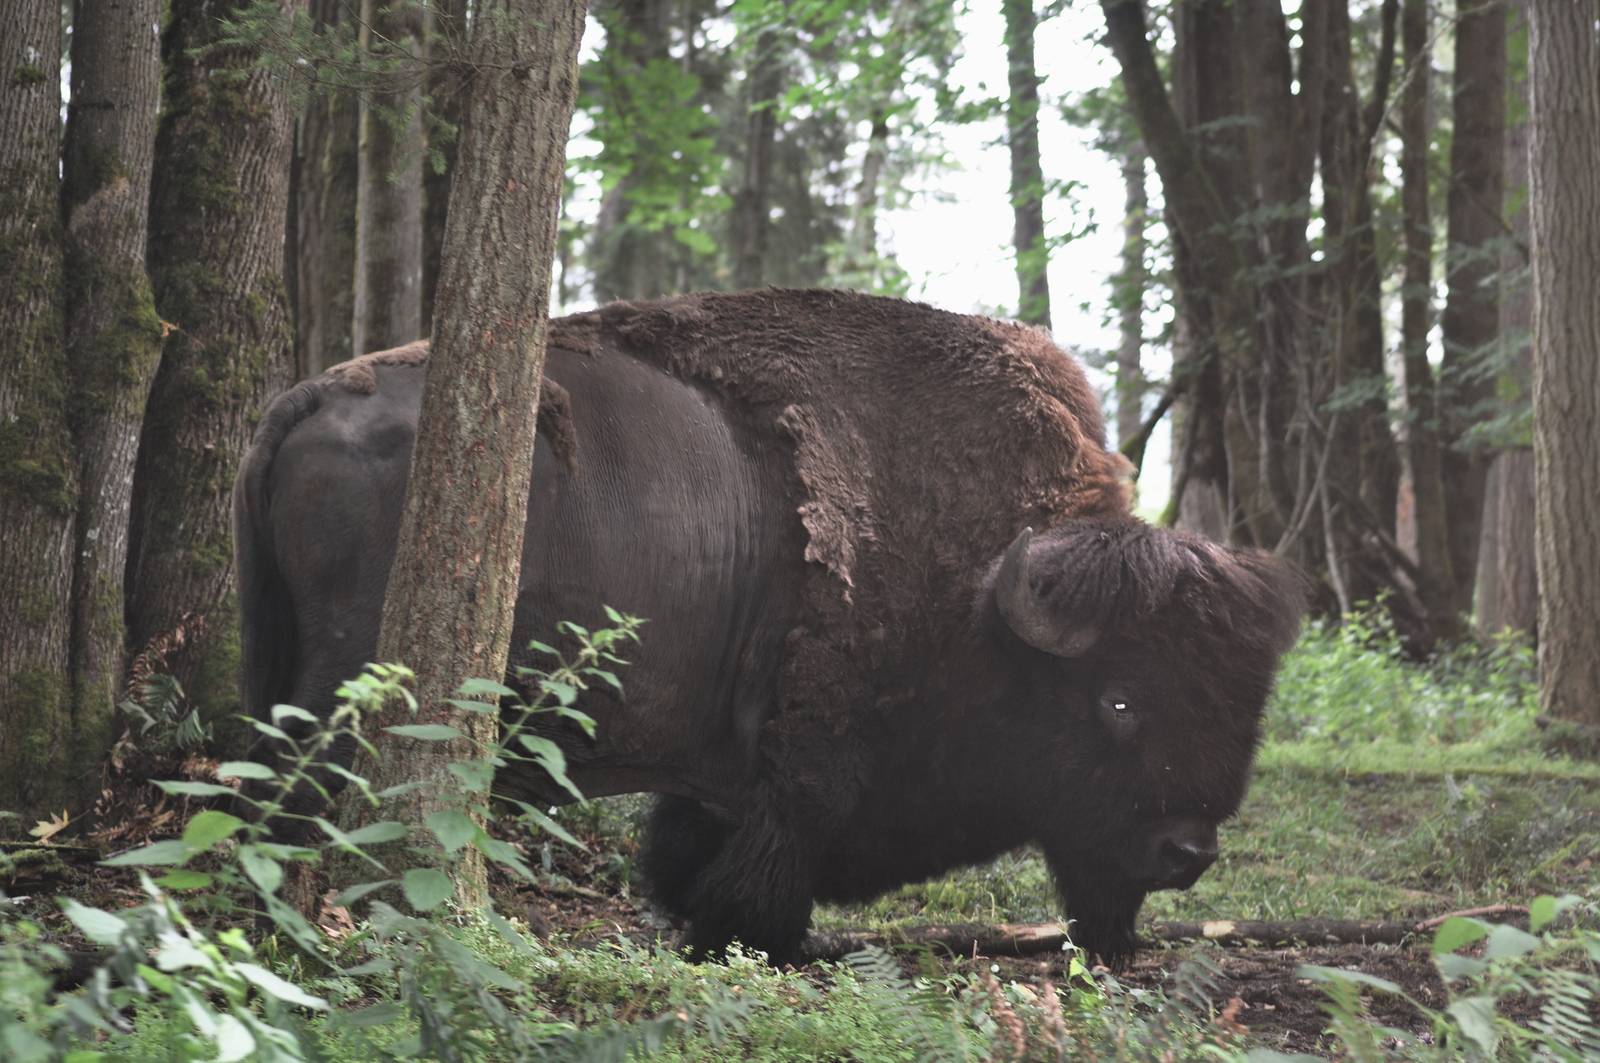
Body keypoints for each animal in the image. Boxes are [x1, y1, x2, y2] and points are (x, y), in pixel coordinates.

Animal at [235, 289, 1304, 965]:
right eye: (1120, 700)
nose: (1188, 853)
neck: (983, 596)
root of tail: (307, 397)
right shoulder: (809, 763)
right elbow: (773, 857)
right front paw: (760, 943)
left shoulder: (725, 772)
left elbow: (689, 845)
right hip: (342, 683)